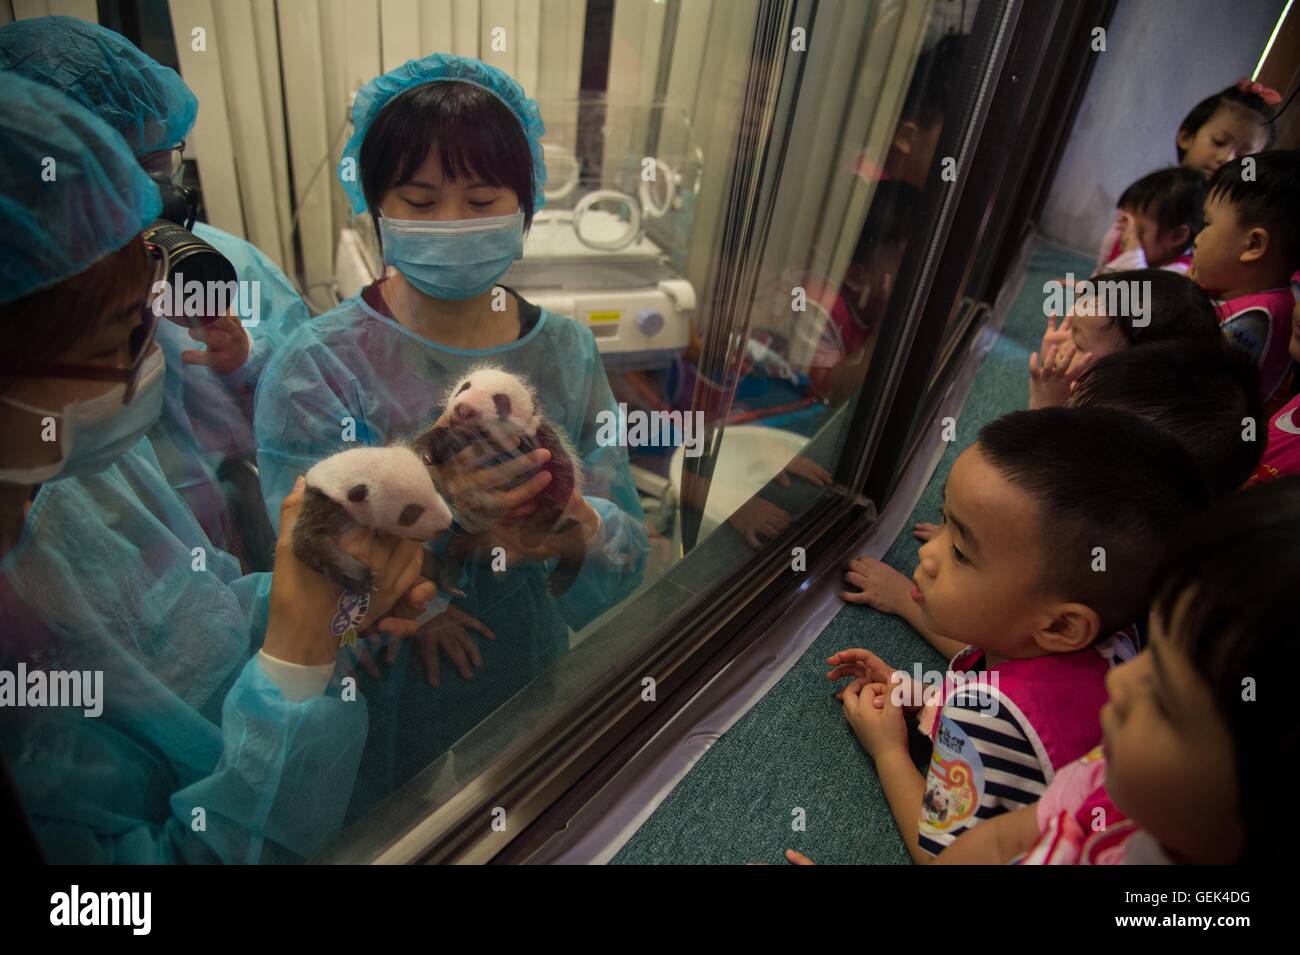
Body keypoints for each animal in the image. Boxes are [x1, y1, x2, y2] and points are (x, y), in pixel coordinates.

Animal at [292, 444, 454, 595]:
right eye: (411, 514)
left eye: (434, 485)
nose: (446, 524)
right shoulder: (321, 501)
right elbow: (307, 541)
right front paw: (362, 578)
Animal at [413, 366, 587, 597]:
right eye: (464, 387)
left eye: (500, 400)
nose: (464, 409)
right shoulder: (457, 438)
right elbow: (438, 437)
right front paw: (422, 452)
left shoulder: (539, 441)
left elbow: (561, 476)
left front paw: (531, 534)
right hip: (475, 531)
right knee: (455, 548)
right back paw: (451, 581)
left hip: (561, 530)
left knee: (575, 544)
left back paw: (557, 583)